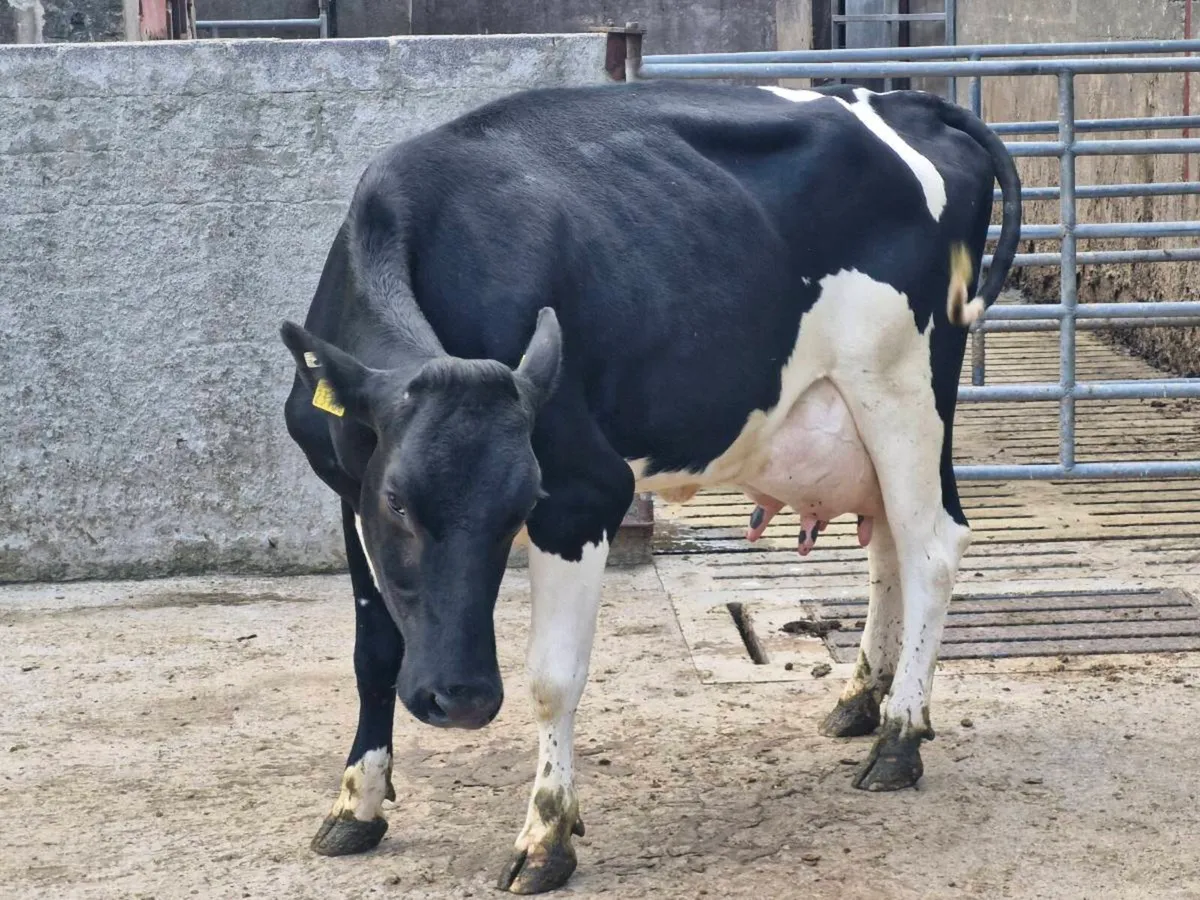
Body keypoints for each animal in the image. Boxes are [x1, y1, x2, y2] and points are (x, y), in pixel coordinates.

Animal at [280, 79, 1021, 893]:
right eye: (398, 504)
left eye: (520, 505)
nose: (464, 697)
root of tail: (904, 99)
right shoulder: (346, 489)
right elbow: (374, 653)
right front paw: (356, 805)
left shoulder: (583, 493)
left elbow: (551, 677)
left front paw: (546, 837)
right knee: (887, 544)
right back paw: (861, 699)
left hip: (904, 389)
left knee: (931, 549)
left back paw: (898, 738)